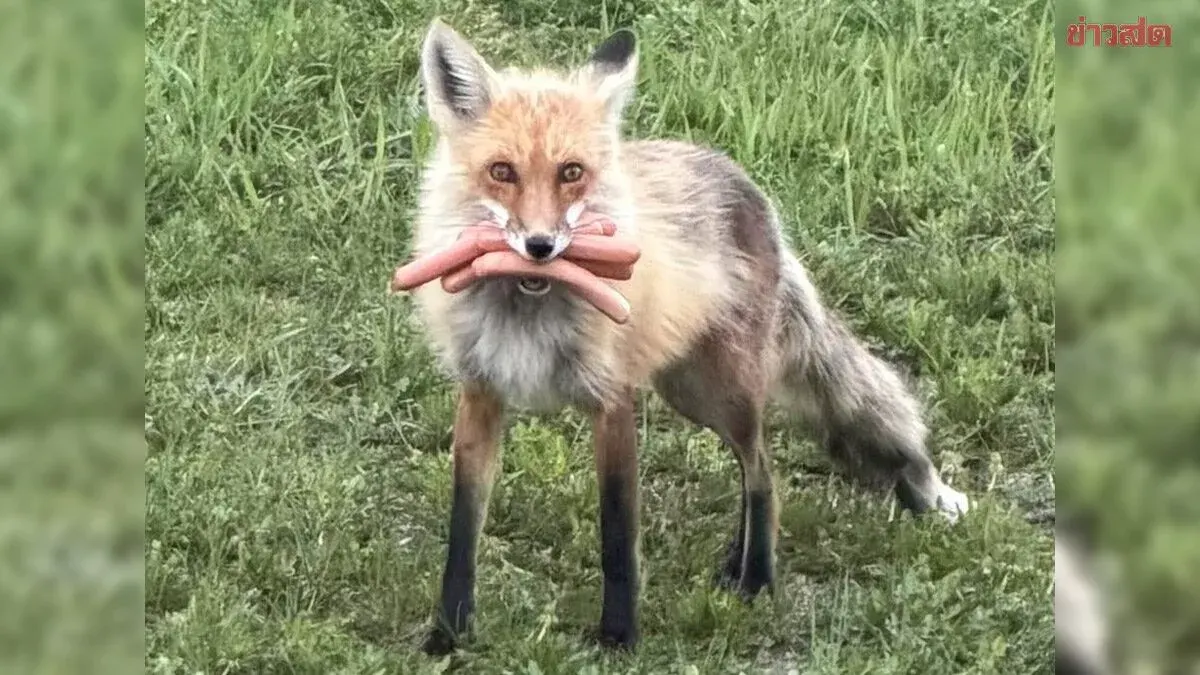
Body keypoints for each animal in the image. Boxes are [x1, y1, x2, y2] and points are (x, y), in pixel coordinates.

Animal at [406, 19, 971, 654]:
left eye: (571, 172)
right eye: (502, 172)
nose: (541, 246)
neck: (529, 305)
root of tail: (749, 186)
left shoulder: (612, 400)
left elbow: (618, 533)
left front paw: (620, 638)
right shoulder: (480, 395)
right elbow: (462, 532)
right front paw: (447, 636)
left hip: (722, 391)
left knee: (763, 474)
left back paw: (756, 580)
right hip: (688, 388)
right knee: (755, 469)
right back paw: (734, 564)